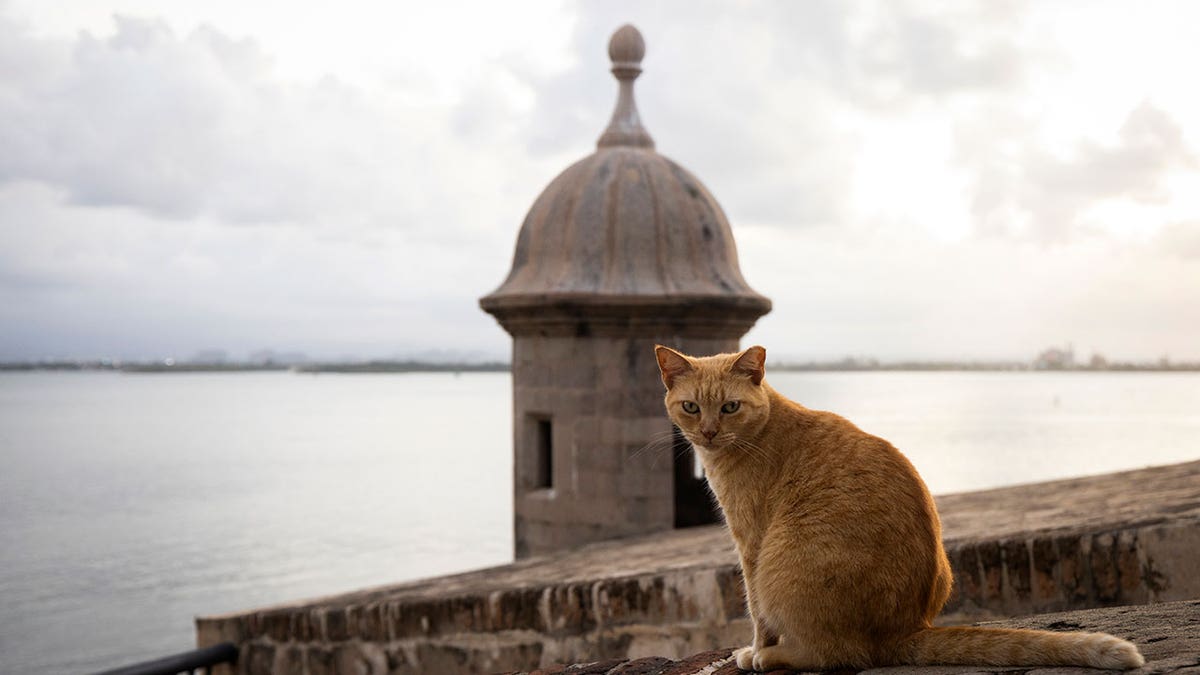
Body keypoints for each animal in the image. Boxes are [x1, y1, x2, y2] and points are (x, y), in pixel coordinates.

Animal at [657, 343, 1142, 667]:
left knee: (836, 653)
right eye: (691, 407)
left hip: (782, 562)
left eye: (730, 407)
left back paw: (772, 658)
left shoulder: (751, 544)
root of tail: (904, 629)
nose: (708, 432)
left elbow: (757, 612)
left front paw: (756, 649)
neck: (759, 430)